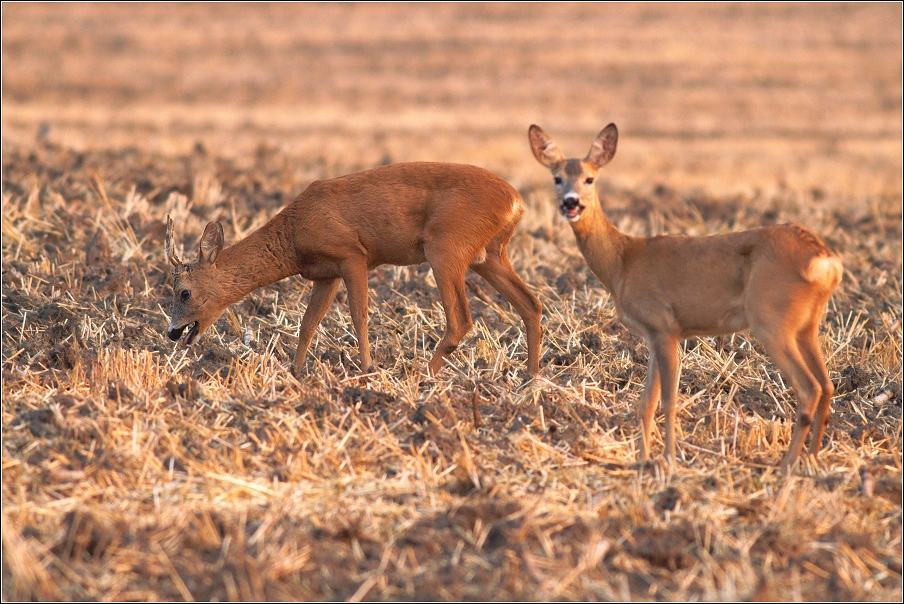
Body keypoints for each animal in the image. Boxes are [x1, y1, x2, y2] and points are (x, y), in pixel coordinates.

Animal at [164, 160, 544, 378]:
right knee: (531, 304)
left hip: (445, 246)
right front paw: (295, 371)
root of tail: (516, 201)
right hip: (489, 254)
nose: (171, 333)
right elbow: (308, 323)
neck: (294, 235)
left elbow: (359, 313)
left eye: (184, 292)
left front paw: (367, 368)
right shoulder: (326, 273)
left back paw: (422, 375)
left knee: (461, 318)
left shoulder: (352, 254)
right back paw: (531, 376)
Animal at [528, 124, 844, 472]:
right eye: (557, 178)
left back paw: (786, 465)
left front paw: (668, 460)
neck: (622, 262)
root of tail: (825, 260)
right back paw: (812, 459)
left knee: (809, 388)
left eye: (589, 178)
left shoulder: (663, 325)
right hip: (806, 325)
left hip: (770, 319)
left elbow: (668, 400)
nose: (571, 203)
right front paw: (643, 460)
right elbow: (645, 403)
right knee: (827, 384)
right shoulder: (655, 334)